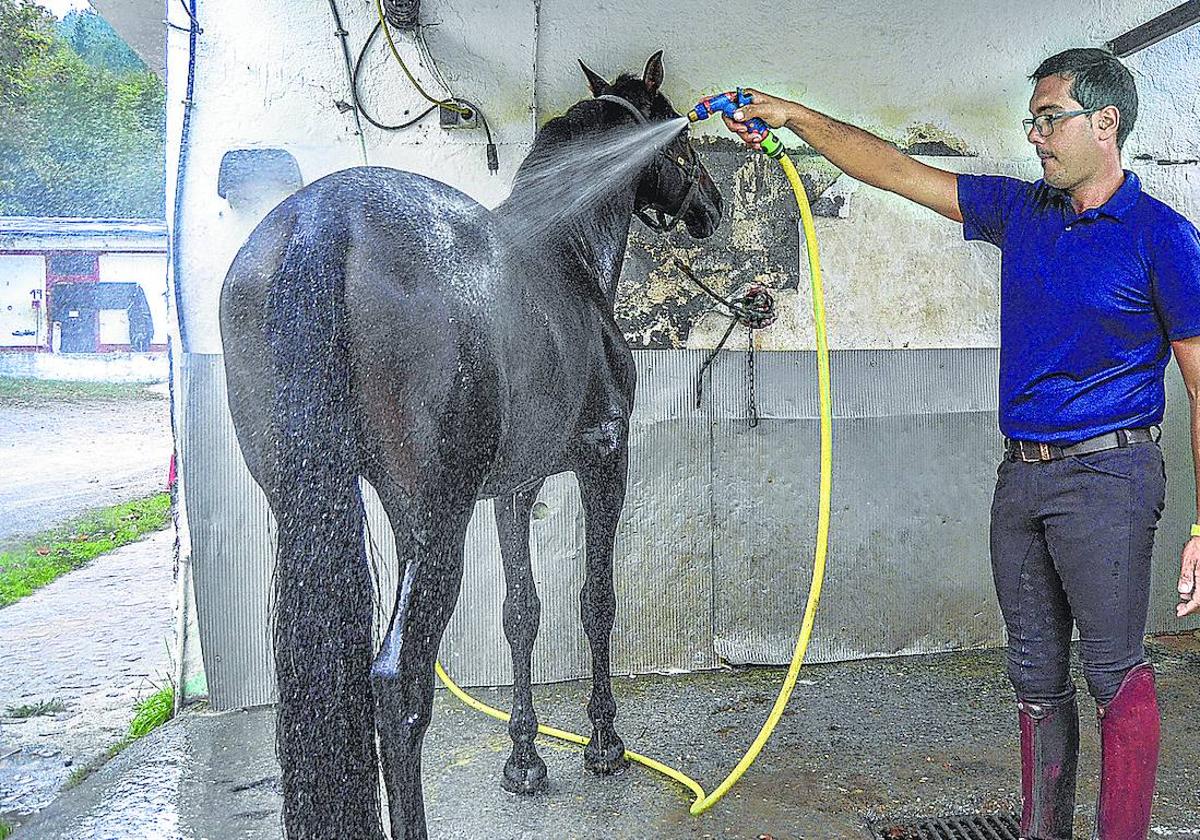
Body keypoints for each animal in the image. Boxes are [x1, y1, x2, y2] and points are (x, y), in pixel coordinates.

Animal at [218, 54, 720, 840]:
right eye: (682, 136)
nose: (713, 207)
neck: (568, 255)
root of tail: (321, 221)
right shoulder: (605, 461)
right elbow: (595, 600)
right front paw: (603, 744)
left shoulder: (514, 489)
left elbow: (522, 613)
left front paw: (525, 760)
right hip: (435, 523)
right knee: (399, 685)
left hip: (324, 511)